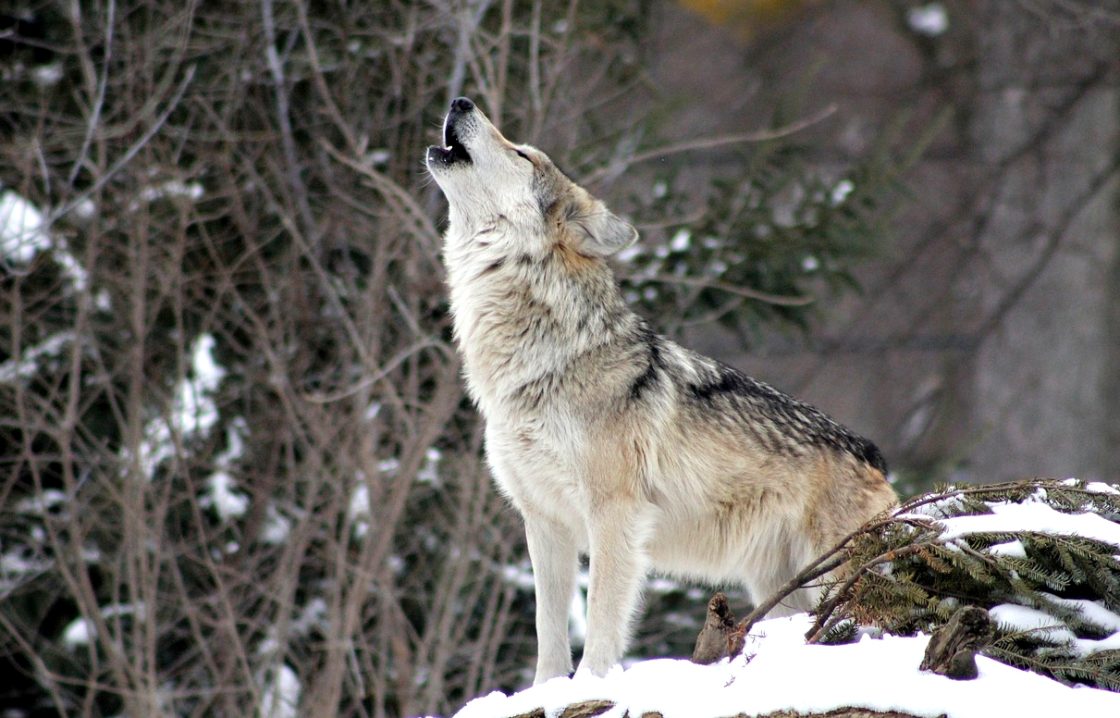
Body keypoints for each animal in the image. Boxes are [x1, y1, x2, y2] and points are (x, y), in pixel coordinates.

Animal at [423, 96, 896, 681]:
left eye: (522, 154)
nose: (460, 101)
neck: (541, 362)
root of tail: (874, 455)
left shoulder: (614, 514)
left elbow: (601, 618)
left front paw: (590, 684)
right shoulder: (544, 521)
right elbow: (548, 630)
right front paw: (548, 689)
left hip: (830, 576)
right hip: (780, 589)